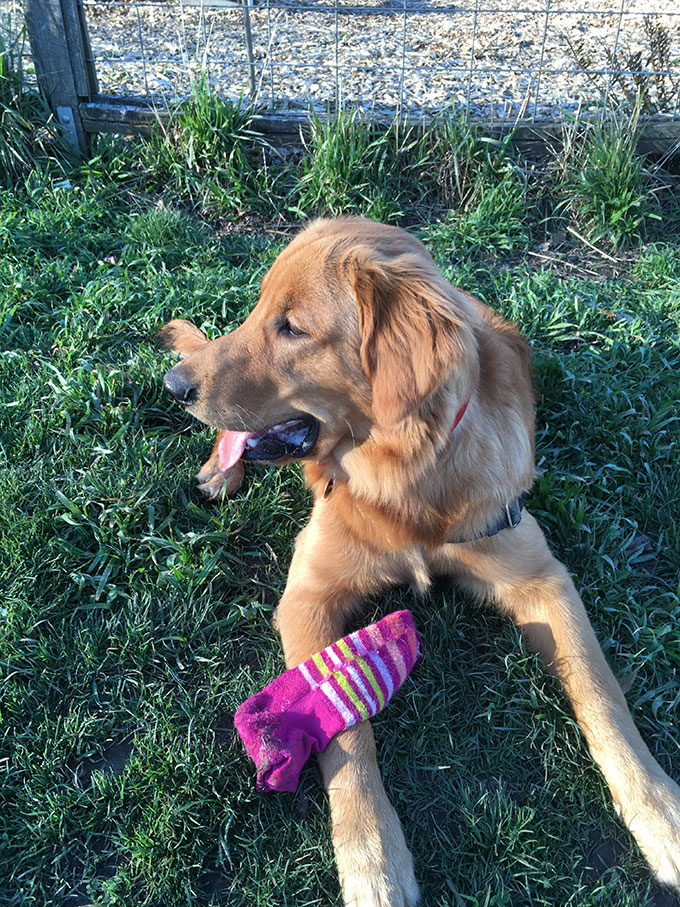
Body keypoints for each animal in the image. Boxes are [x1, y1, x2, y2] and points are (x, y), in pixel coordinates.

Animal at [162, 216, 680, 904]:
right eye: (259, 310)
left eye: (292, 327)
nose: (174, 386)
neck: (406, 478)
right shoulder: (308, 596)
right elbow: (345, 731)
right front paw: (373, 863)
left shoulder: (541, 577)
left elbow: (602, 696)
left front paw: (660, 815)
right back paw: (219, 473)